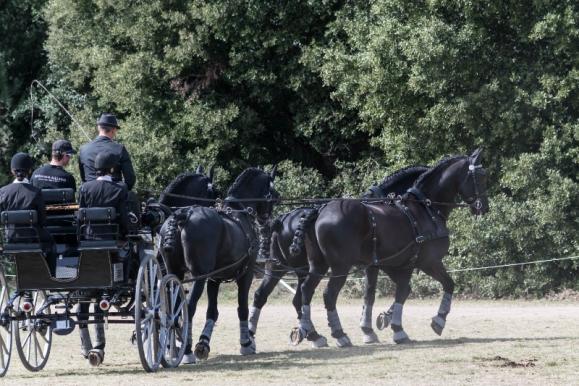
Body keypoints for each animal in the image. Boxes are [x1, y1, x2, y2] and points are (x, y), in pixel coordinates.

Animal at [159, 166, 276, 362]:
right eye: (274, 194)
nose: (266, 221)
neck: (239, 212)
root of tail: (183, 215)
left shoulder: (215, 278)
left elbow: (212, 311)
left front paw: (203, 343)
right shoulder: (247, 274)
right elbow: (242, 308)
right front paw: (246, 343)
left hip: (174, 273)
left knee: (172, 308)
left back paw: (173, 348)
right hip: (198, 277)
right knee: (188, 307)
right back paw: (186, 350)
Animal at [250, 164, 430, 346]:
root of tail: (282, 221)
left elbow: (384, 291)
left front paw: (379, 322)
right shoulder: (377, 264)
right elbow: (378, 292)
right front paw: (376, 324)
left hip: (278, 267)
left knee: (266, 295)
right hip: (309, 269)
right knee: (305, 296)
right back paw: (317, 334)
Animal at [294, 149, 490, 346]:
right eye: (481, 177)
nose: (485, 207)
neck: (425, 209)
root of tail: (320, 210)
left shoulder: (388, 264)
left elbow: (382, 293)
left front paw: (382, 321)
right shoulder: (427, 262)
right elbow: (439, 285)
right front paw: (429, 322)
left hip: (318, 264)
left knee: (306, 291)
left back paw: (311, 333)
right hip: (340, 267)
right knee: (329, 294)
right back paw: (339, 334)